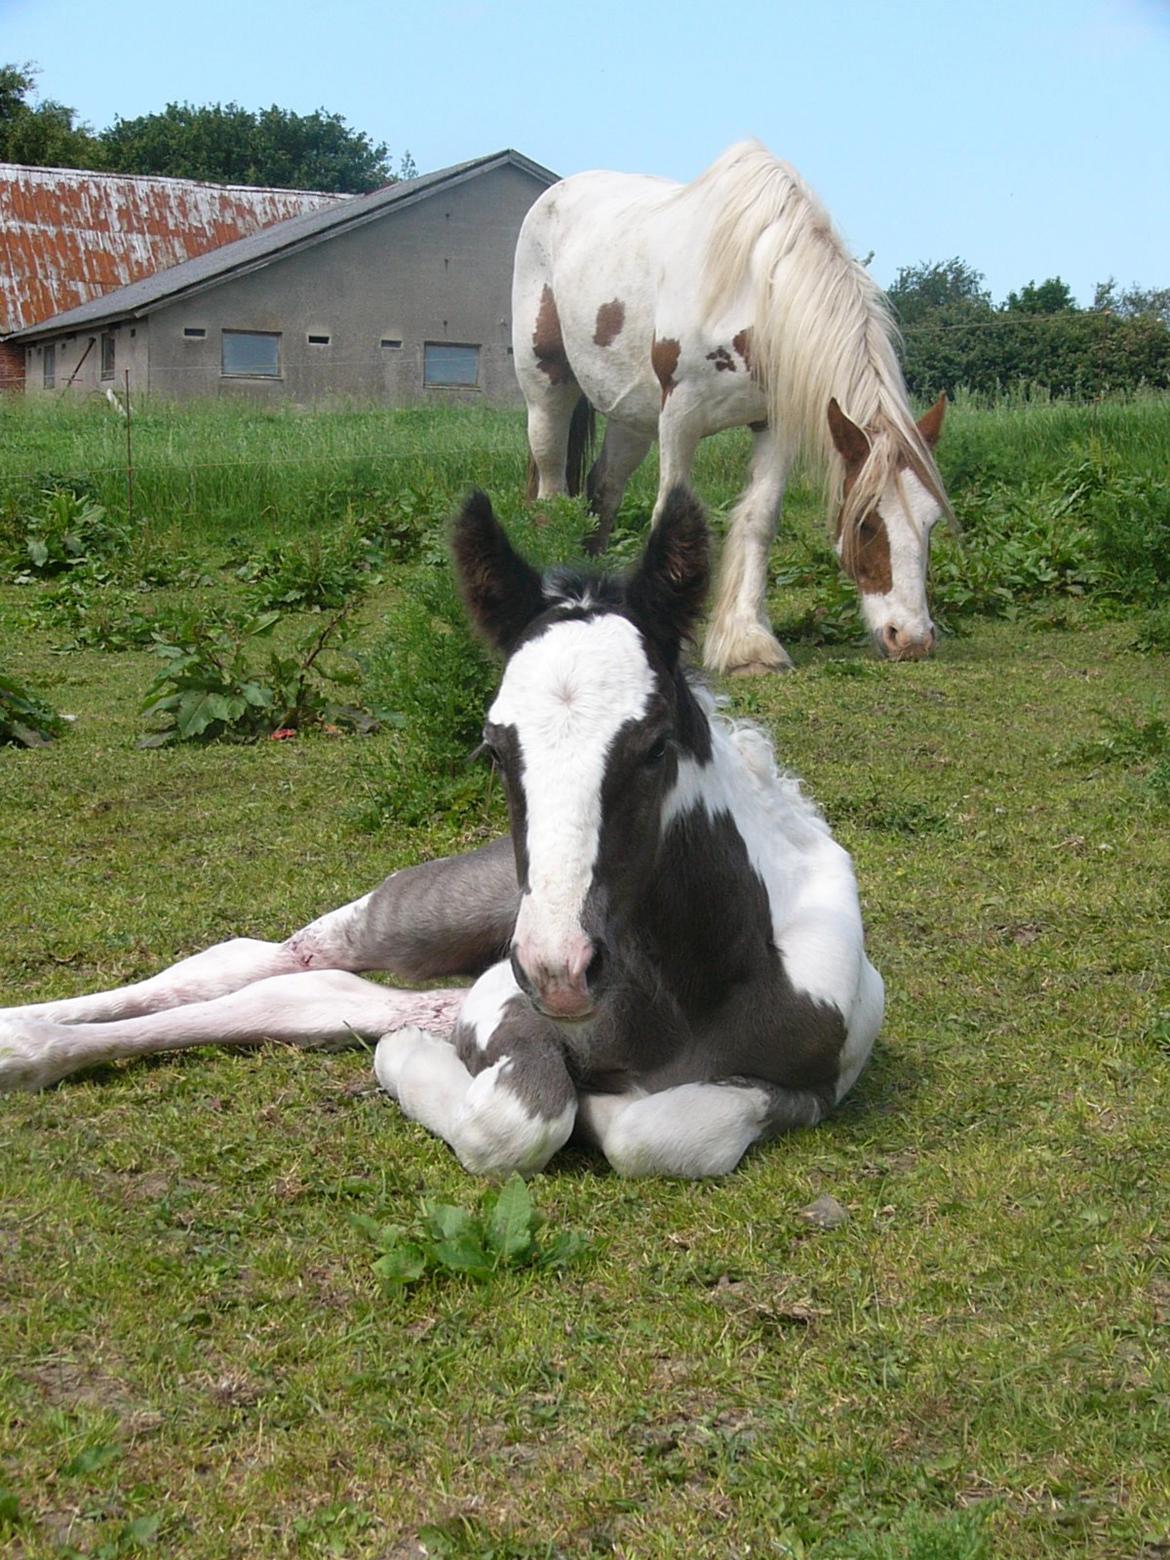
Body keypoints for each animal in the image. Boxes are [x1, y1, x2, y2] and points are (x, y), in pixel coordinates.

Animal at [0, 492, 886, 1173]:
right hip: (430, 913)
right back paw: (21, 1038)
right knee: (263, 958)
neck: (692, 984)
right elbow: (518, 1120)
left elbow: (655, 1131)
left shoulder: (814, 1083)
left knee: (314, 994)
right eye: (493, 747)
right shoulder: (502, 1002)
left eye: (656, 744)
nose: (561, 968)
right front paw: (416, 1063)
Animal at [511, 145, 954, 677]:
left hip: (630, 414)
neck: (755, 294)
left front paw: (747, 643)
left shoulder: (774, 423)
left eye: (932, 522)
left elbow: (759, 519)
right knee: (552, 491)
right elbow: (668, 513)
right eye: (866, 523)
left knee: (603, 491)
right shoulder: (679, 416)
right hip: (547, 388)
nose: (910, 637)